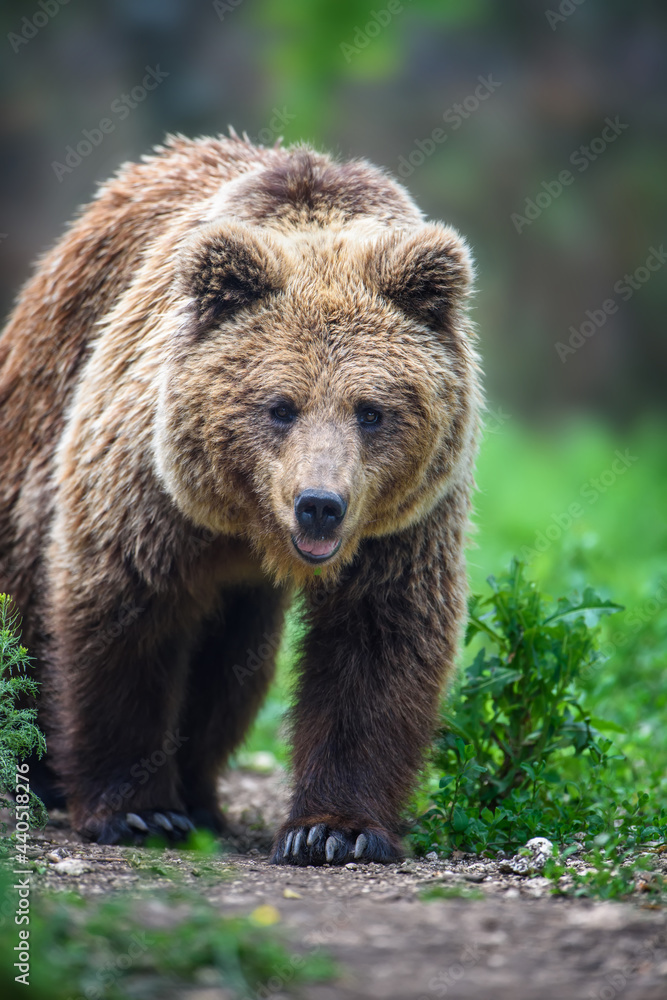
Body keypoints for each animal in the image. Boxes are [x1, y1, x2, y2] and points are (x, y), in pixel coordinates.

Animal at [0, 133, 480, 864]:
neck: (245, 523)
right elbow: (122, 615)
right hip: (41, 417)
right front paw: (137, 811)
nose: (320, 504)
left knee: (230, 668)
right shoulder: (148, 488)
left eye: (370, 411)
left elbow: (378, 639)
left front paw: (331, 830)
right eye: (280, 406)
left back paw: (201, 795)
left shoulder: (403, 525)